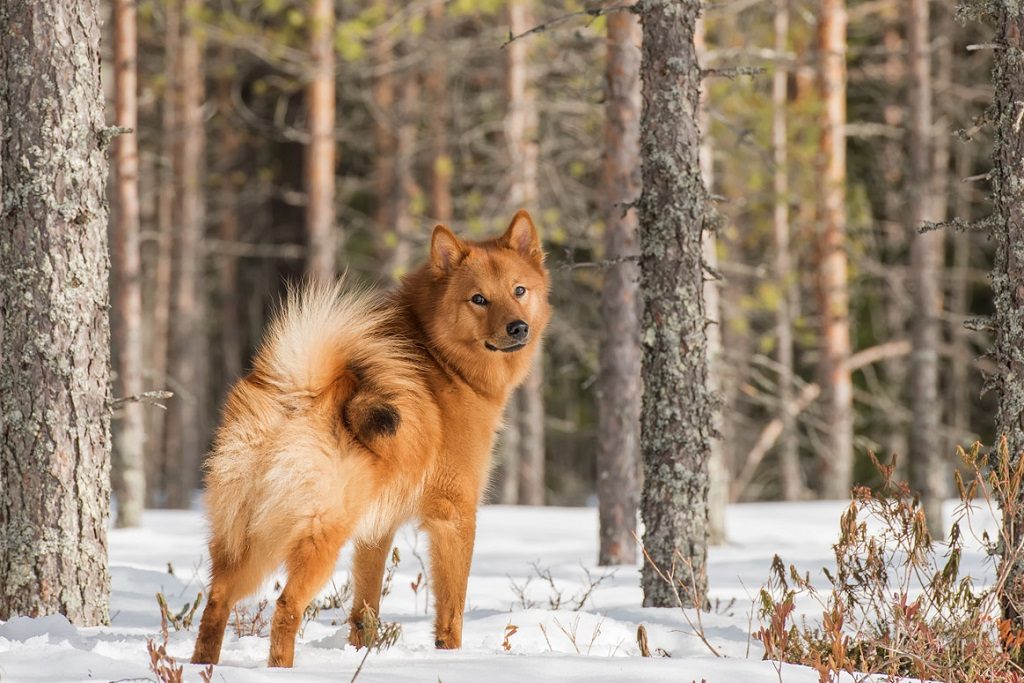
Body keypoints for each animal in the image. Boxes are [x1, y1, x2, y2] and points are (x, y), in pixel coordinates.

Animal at [187, 209, 548, 667]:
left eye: (519, 290)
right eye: (479, 299)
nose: (518, 327)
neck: (440, 357)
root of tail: (298, 390)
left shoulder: (377, 530)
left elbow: (364, 611)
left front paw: (360, 654)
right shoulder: (454, 515)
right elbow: (452, 612)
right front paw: (450, 658)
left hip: (249, 538)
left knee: (216, 602)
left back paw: (204, 666)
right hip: (318, 535)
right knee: (286, 609)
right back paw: (281, 670)